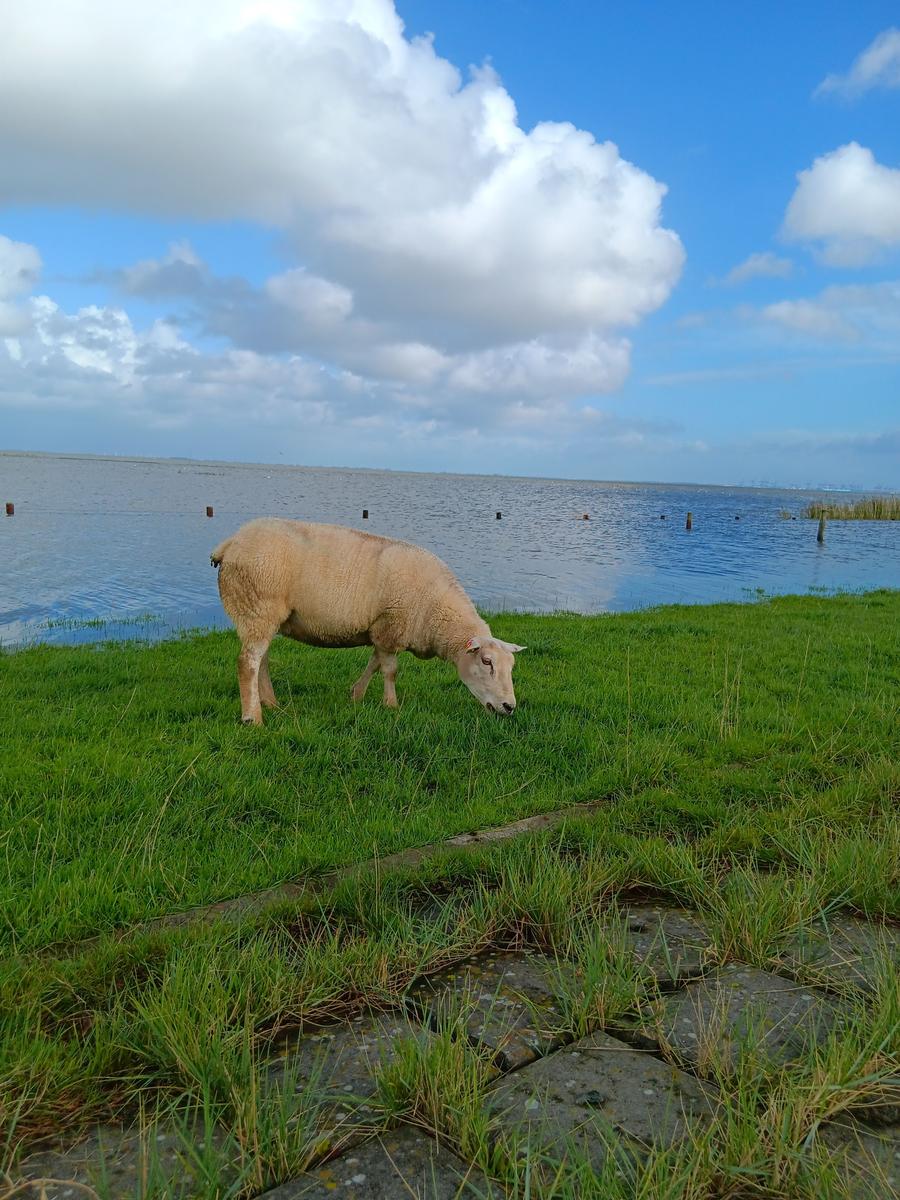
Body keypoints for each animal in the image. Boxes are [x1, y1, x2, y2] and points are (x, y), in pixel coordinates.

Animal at [210, 518, 525, 725]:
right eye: (486, 662)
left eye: (511, 666)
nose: (509, 707)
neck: (436, 612)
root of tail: (231, 542)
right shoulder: (391, 624)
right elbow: (390, 671)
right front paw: (391, 706)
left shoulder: (382, 630)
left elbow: (374, 663)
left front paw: (356, 695)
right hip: (257, 605)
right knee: (247, 663)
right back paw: (253, 718)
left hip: (260, 615)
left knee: (261, 660)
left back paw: (270, 703)